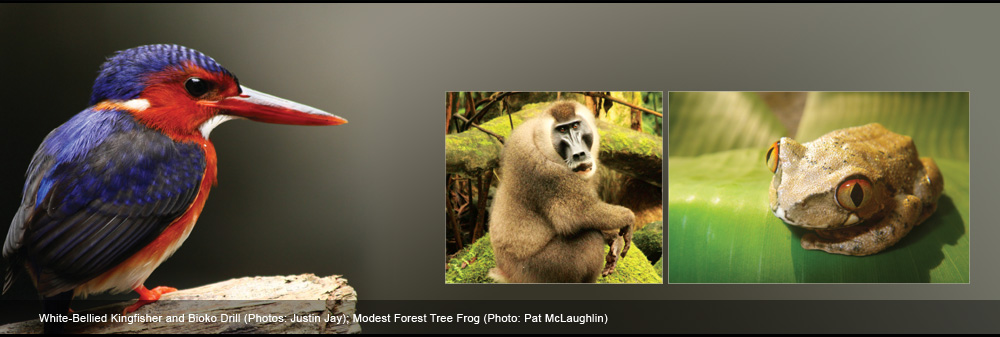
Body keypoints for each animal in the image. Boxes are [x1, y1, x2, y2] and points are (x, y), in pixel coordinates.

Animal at [486, 101, 632, 282]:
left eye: (575, 125)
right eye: (562, 130)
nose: (579, 154)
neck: (541, 141)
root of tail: (507, 273)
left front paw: (614, 239)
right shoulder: (545, 173)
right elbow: (576, 215)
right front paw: (628, 218)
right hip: (540, 270)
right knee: (590, 238)